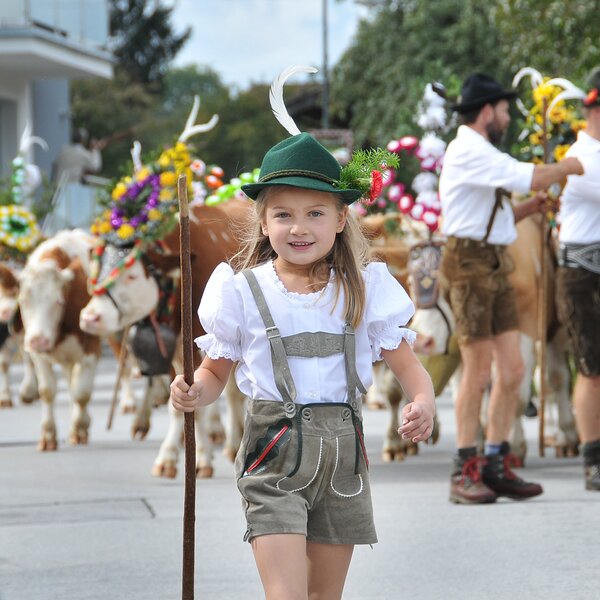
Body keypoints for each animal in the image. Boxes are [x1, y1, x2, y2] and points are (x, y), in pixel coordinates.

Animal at [79, 199, 251, 480]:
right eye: (98, 270)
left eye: (132, 275)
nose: (90, 317)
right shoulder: (175, 351)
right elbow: (178, 404)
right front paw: (169, 456)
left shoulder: (202, 345)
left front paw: (202, 459)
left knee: (235, 394)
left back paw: (234, 443)